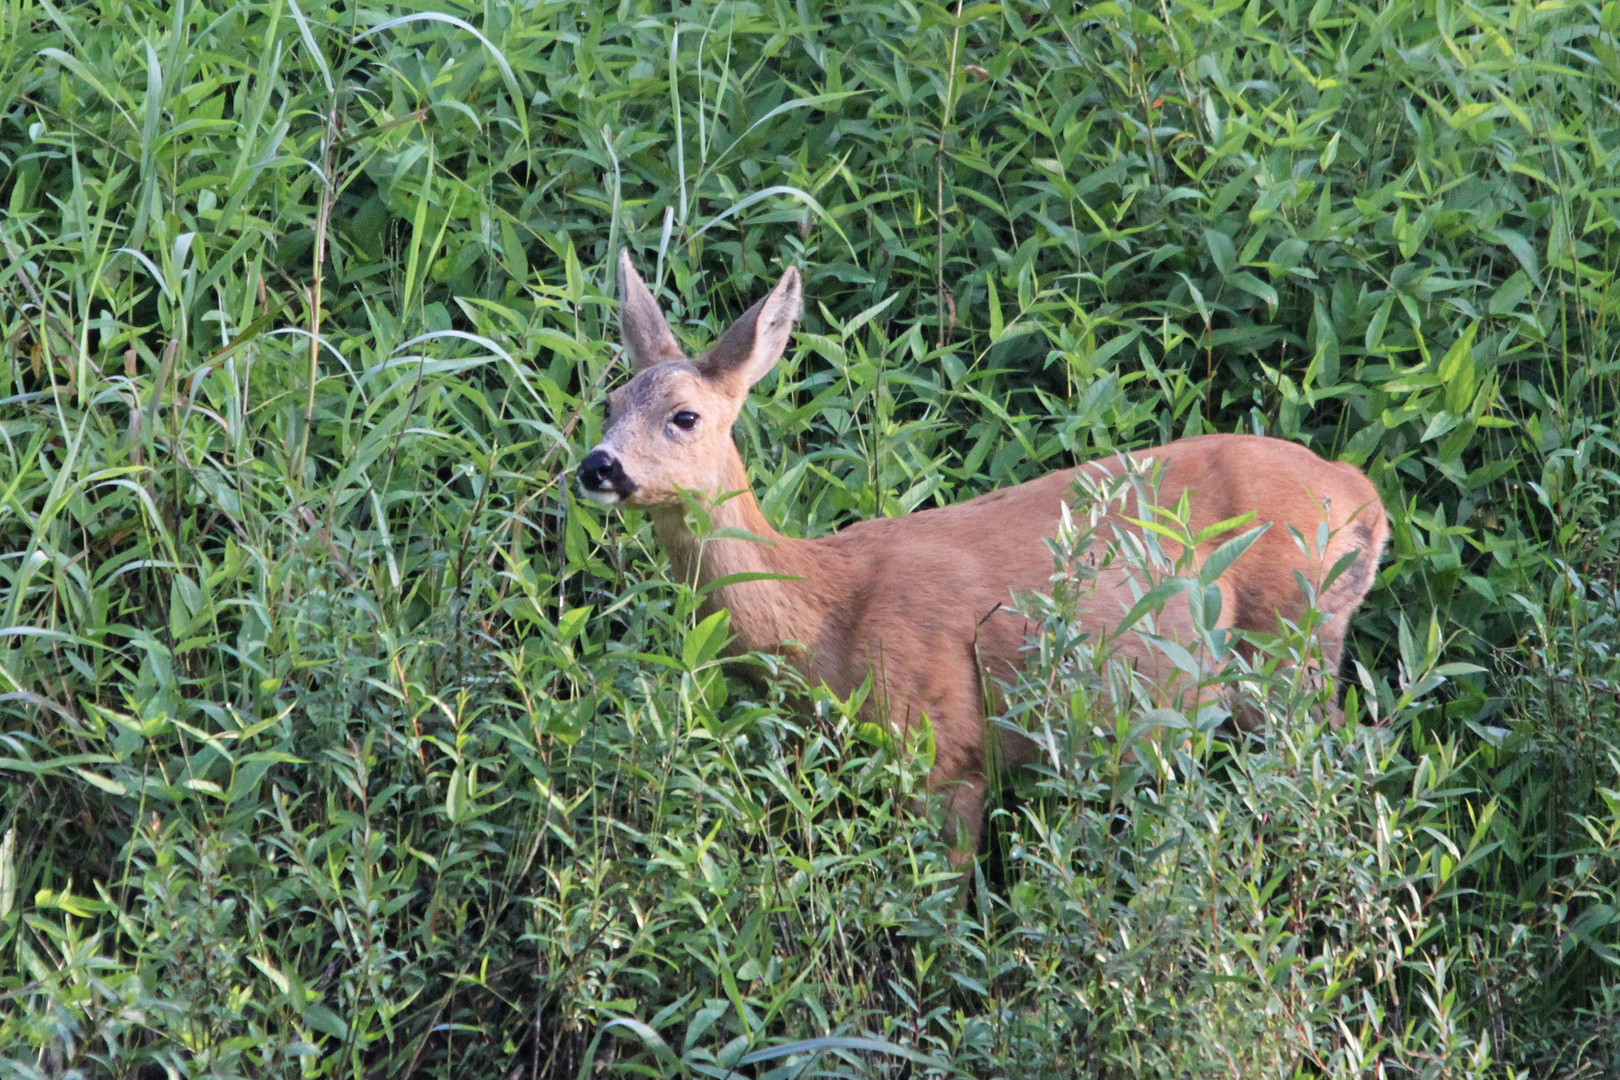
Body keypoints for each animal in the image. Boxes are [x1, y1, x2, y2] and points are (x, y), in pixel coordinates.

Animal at [576, 250, 1386, 861]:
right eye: (608, 404)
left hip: (1289, 647)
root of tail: (1364, 497)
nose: (597, 467)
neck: (825, 616)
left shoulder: (944, 749)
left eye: (685, 416)